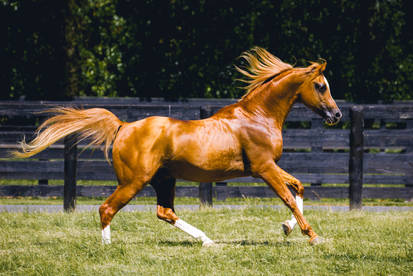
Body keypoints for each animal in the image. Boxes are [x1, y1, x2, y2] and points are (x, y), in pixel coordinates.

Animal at [13, 47, 342, 246]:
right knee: (107, 208)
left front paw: (287, 228)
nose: (337, 115)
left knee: (164, 212)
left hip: (163, 179)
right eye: (321, 86)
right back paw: (108, 247)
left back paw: (207, 240)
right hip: (134, 181)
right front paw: (311, 235)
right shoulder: (263, 168)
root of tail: (123, 126)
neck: (257, 117)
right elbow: (288, 197)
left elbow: (298, 187)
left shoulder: (269, 167)